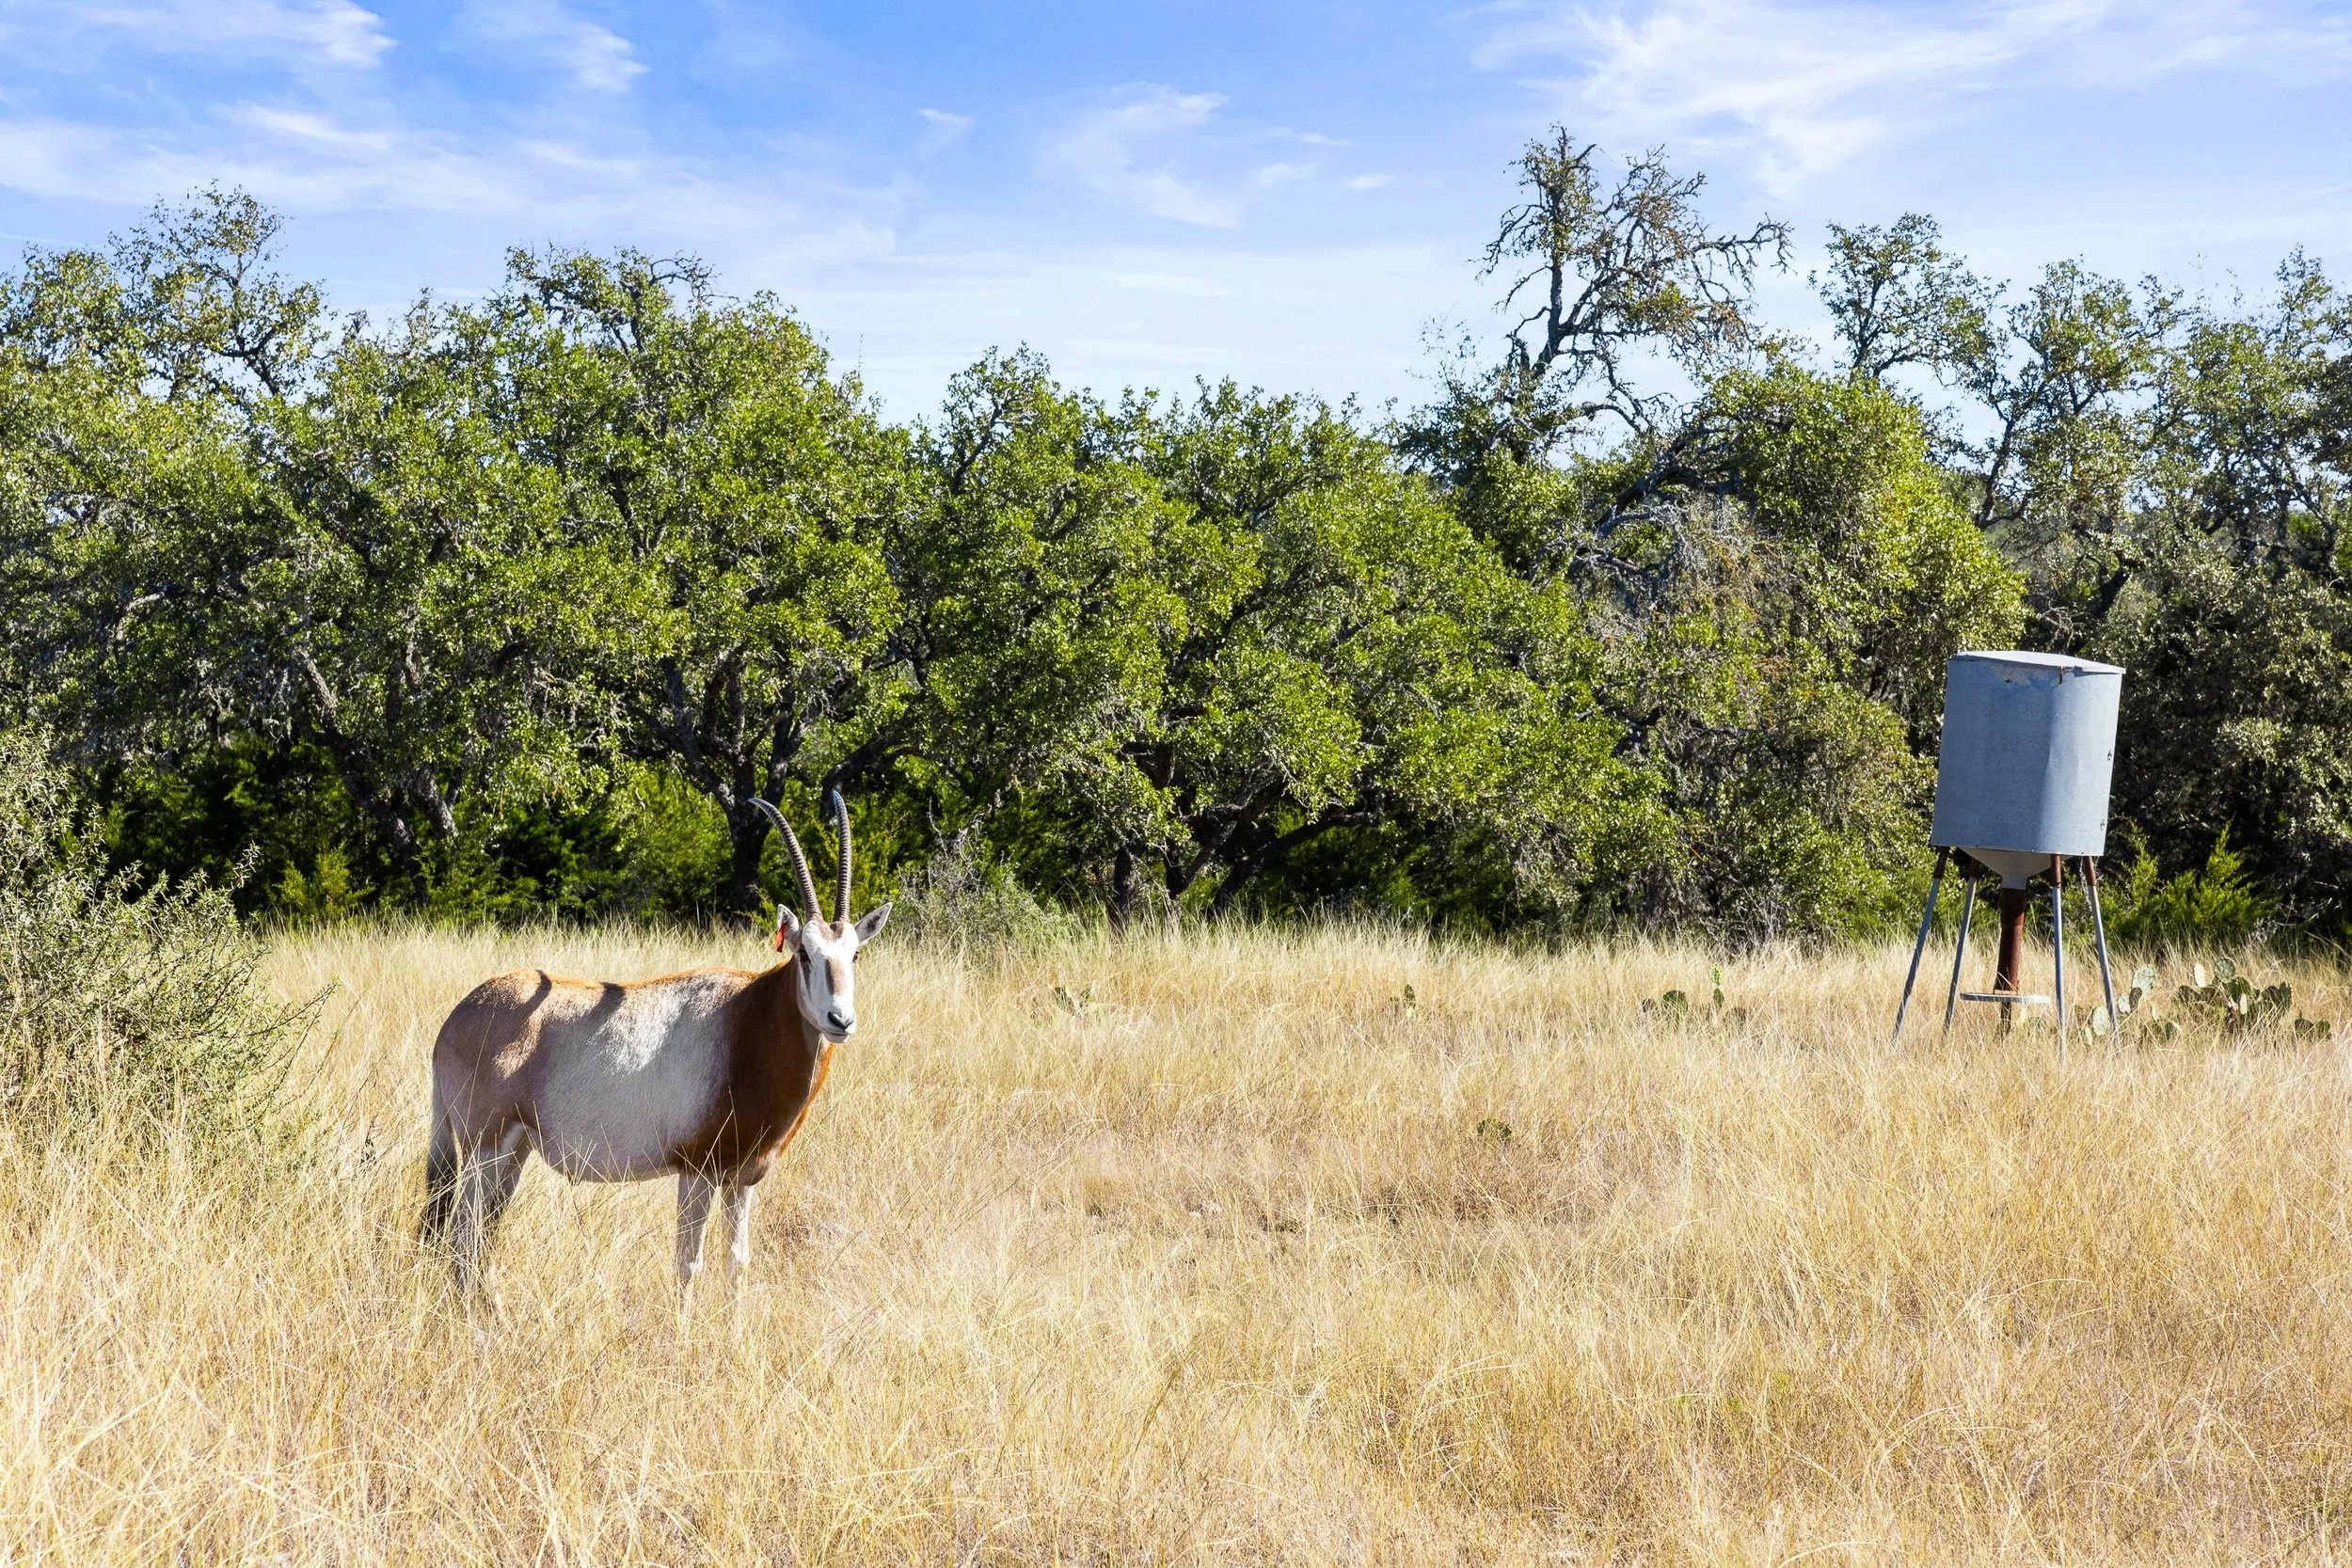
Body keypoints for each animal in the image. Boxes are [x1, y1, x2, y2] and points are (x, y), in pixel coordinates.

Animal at [419, 792, 889, 1294]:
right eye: (804, 954)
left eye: (854, 954)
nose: (840, 1020)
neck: (749, 1020)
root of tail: (456, 1019)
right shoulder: (697, 1171)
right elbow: (688, 1263)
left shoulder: (742, 1178)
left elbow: (737, 1262)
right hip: (484, 1150)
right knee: (462, 1239)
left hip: (512, 1154)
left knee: (478, 1239)